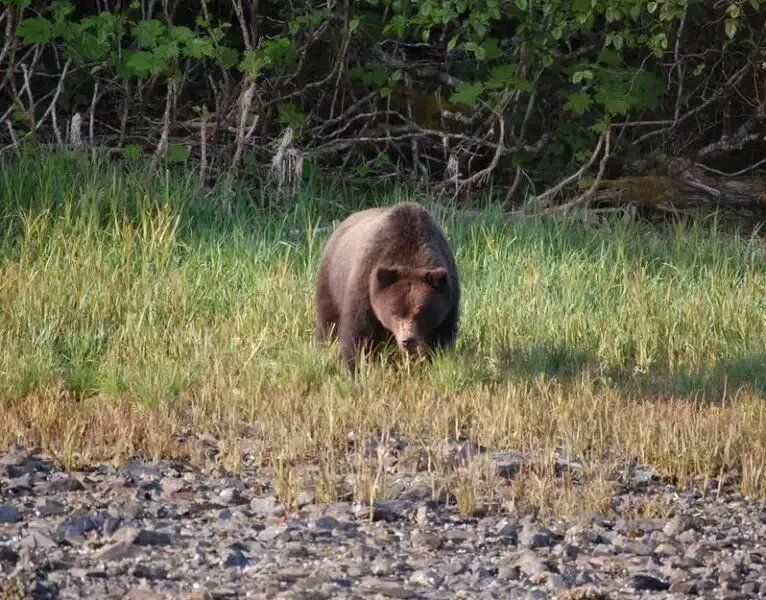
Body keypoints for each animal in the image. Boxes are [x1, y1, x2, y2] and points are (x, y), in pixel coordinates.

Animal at [314, 203, 460, 370]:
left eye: (420, 313)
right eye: (395, 313)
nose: (407, 340)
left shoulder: (449, 298)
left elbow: (441, 335)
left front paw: (435, 361)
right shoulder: (367, 282)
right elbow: (357, 332)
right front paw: (355, 366)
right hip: (332, 278)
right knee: (327, 320)